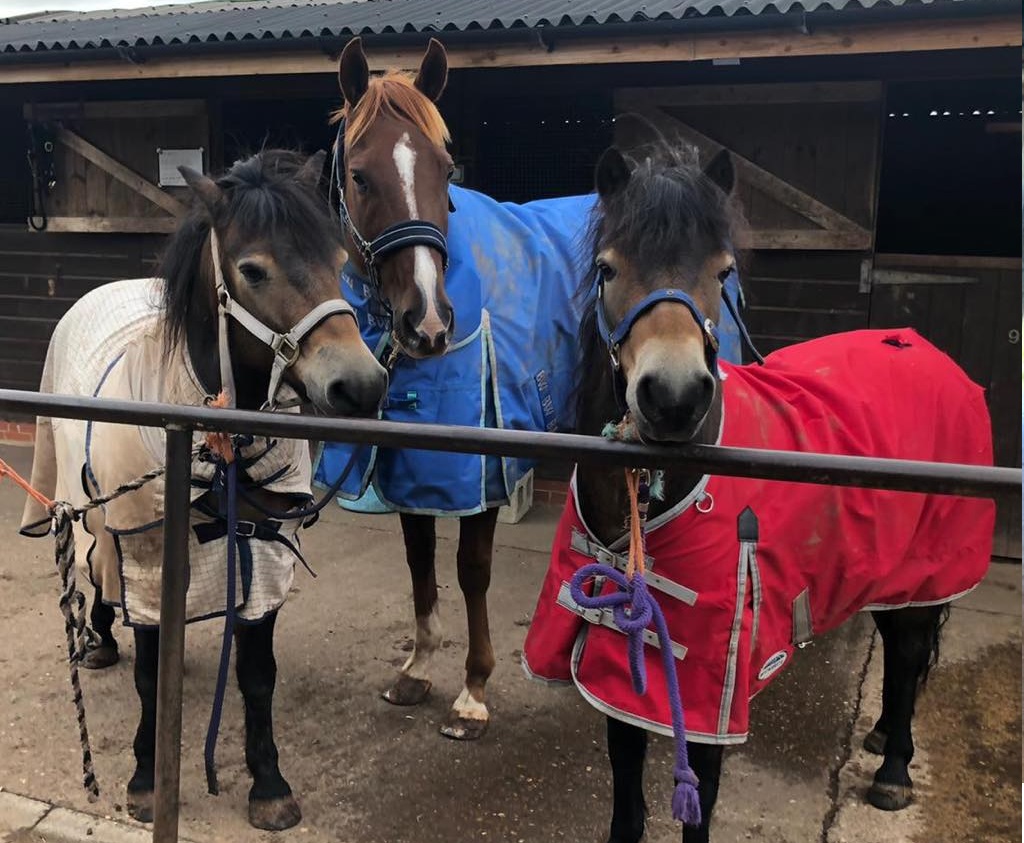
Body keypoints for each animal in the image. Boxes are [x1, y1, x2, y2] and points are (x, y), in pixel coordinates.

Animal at [20, 149, 387, 831]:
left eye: (338, 263)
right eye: (253, 270)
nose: (361, 385)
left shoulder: (263, 549)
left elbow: (257, 673)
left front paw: (269, 785)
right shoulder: (144, 545)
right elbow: (147, 672)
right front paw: (146, 778)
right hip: (92, 511)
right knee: (95, 565)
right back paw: (101, 638)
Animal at [520, 141, 991, 839]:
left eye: (723, 273)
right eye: (607, 269)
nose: (674, 397)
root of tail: (925, 350)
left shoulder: (714, 683)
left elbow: (702, 797)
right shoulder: (620, 652)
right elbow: (625, 780)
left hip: (929, 564)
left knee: (907, 651)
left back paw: (894, 772)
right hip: (888, 564)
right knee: (895, 641)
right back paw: (881, 736)